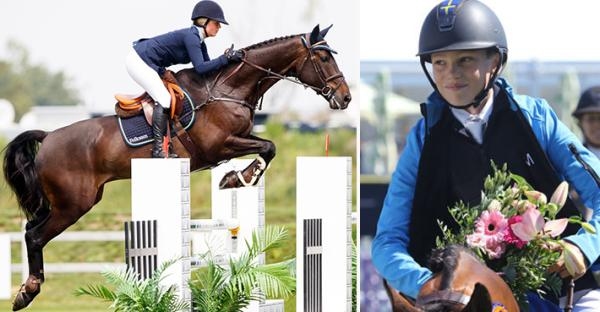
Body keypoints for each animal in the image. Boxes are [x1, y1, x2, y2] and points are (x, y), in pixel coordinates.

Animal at [2, 23, 352, 310]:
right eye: (323, 59)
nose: (345, 98)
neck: (228, 90)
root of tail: (48, 137)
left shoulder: (235, 140)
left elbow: (268, 146)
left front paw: (235, 177)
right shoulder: (218, 145)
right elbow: (269, 147)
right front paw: (240, 177)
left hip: (70, 202)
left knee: (30, 228)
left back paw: (25, 291)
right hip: (73, 204)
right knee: (35, 236)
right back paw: (27, 292)